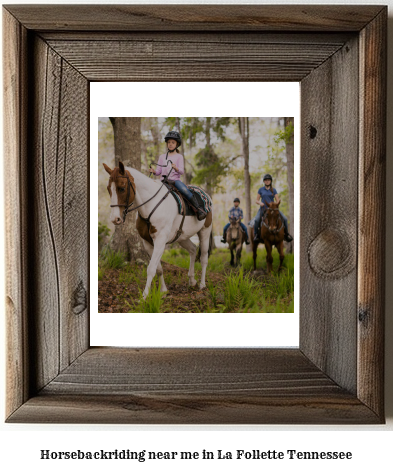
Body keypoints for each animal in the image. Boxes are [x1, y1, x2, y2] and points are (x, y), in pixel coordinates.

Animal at [102, 161, 211, 298]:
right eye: (108, 189)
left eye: (122, 188)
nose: (114, 218)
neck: (151, 205)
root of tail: (206, 196)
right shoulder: (148, 242)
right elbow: (158, 268)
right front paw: (163, 290)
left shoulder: (160, 240)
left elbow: (151, 268)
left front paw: (144, 296)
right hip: (182, 237)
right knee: (192, 249)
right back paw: (192, 280)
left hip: (205, 232)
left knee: (204, 258)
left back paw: (202, 284)